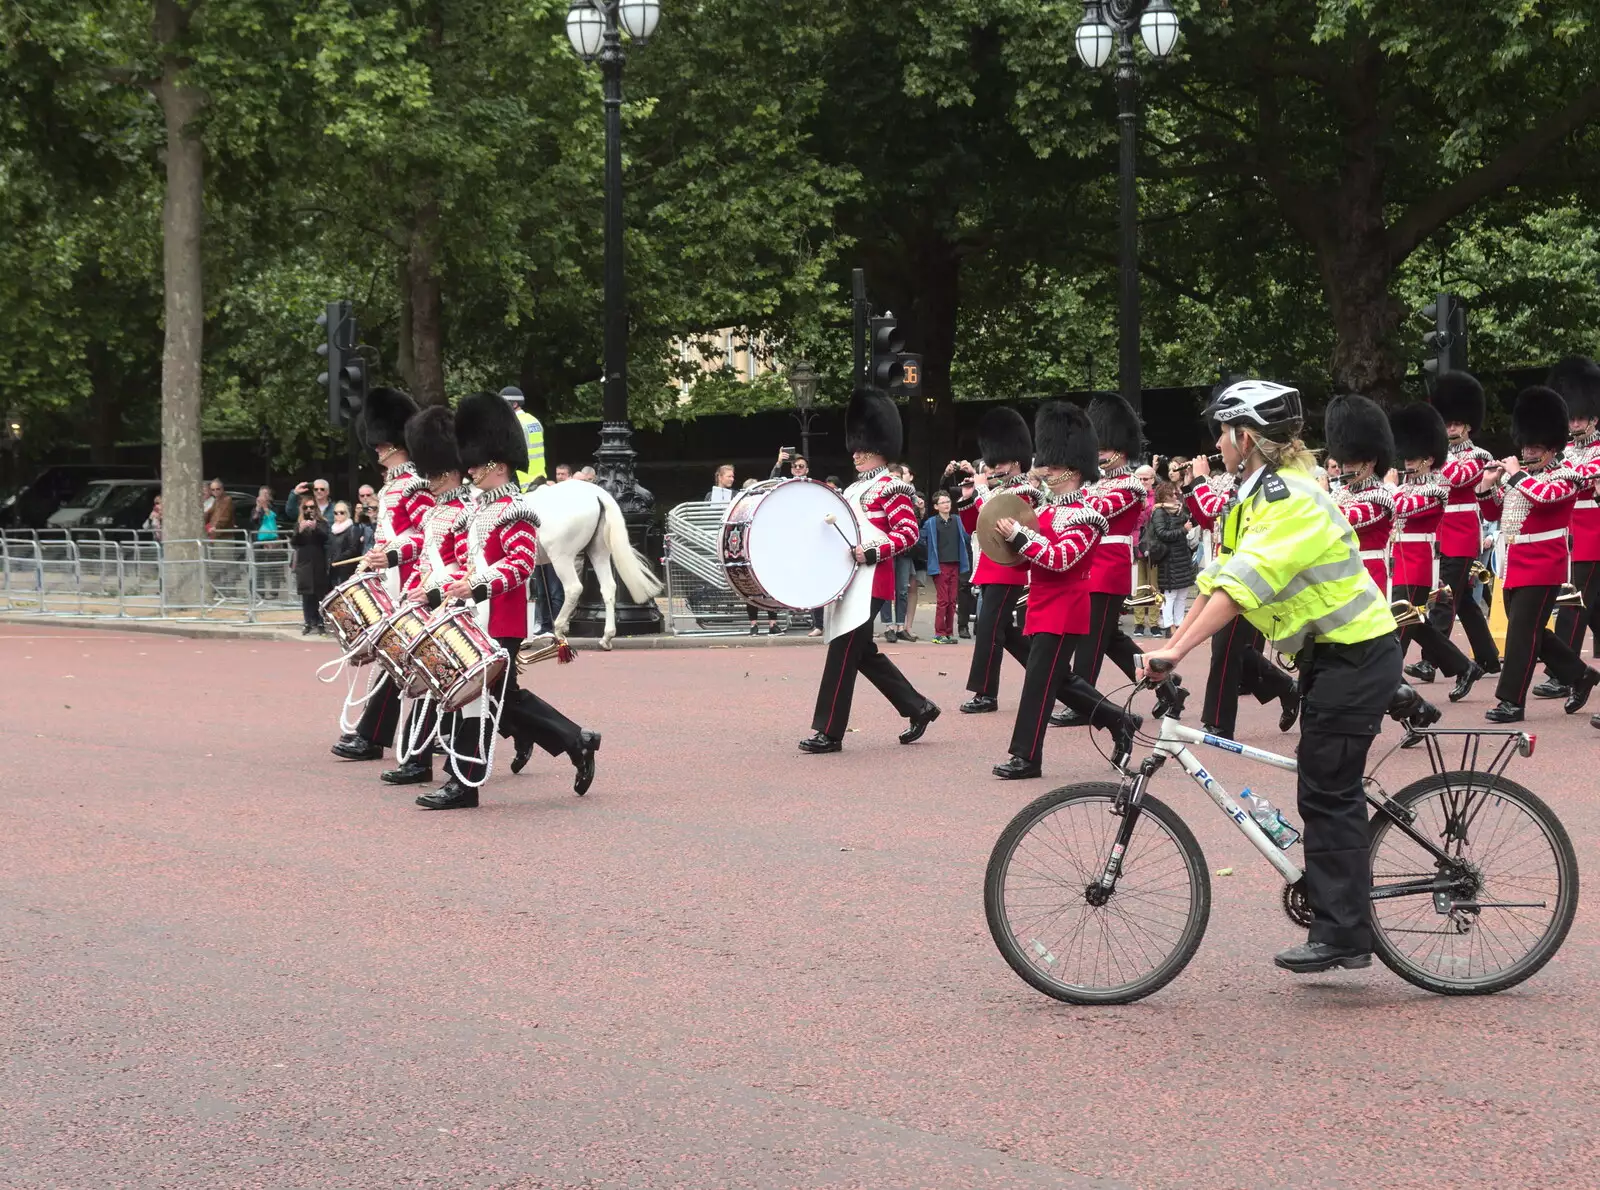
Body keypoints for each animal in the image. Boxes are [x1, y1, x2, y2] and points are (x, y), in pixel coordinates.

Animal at [524, 479, 662, 649]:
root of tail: (598, 494)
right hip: (599, 552)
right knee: (609, 587)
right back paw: (607, 637)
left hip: (561, 557)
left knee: (573, 588)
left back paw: (559, 629)